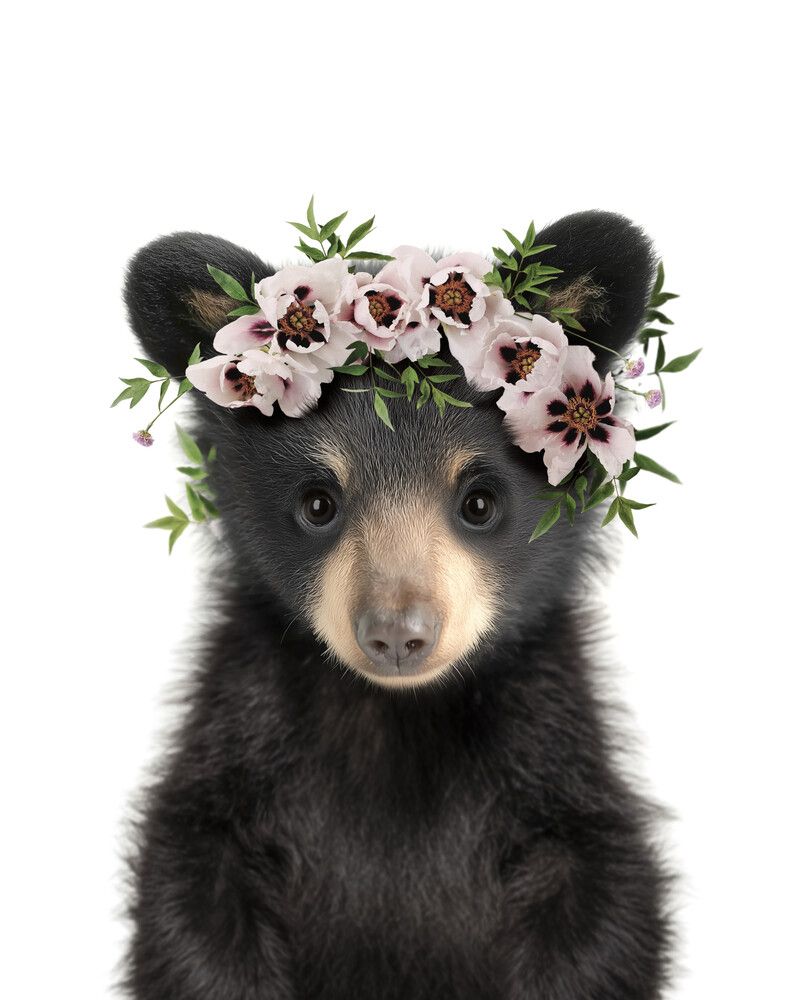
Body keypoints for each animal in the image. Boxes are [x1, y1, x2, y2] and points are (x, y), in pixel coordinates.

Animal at [122, 211, 672, 1000]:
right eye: (317, 503)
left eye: (480, 501)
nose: (397, 634)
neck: (396, 722)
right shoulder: (242, 740)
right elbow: (191, 903)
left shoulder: (551, 757)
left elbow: (603, 916)